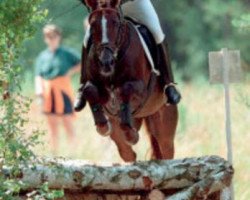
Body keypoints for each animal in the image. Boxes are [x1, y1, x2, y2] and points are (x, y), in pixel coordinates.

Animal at [80, 0, 178, 162]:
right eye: (92, 24)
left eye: (115, 23)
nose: (106, 63)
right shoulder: (99, 89)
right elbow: (89, 90)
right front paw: (103, 126)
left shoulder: (141, 89)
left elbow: (125, 89)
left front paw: (131, 135)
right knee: (127, 152)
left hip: (164, 128)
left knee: (165, 150)